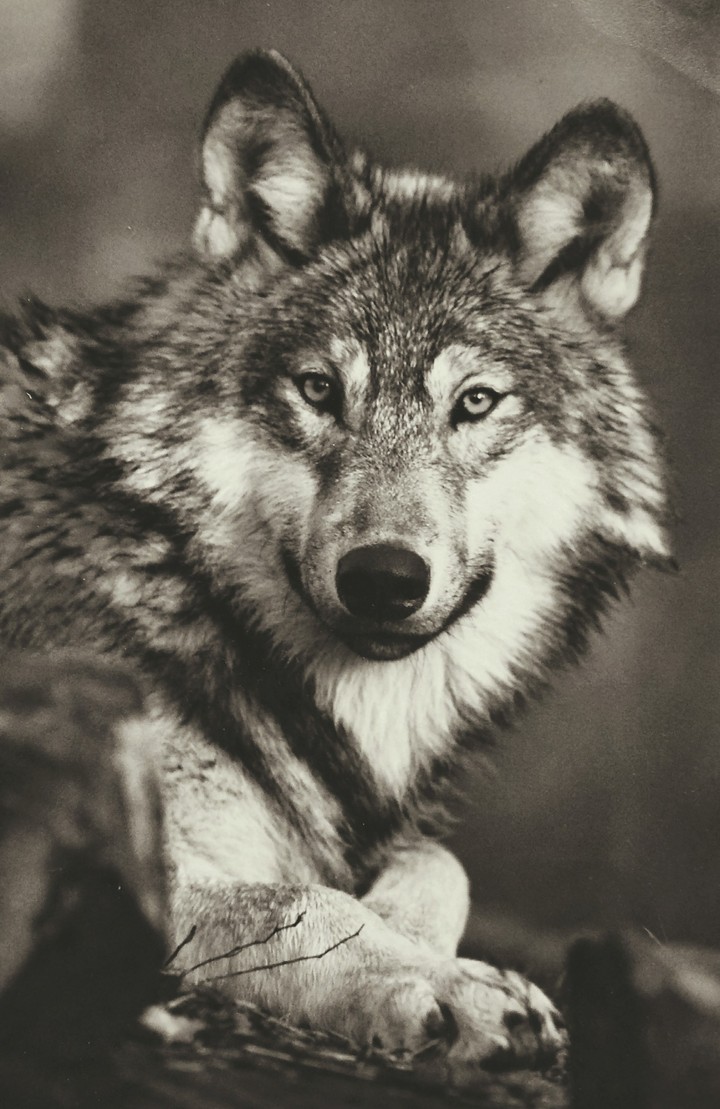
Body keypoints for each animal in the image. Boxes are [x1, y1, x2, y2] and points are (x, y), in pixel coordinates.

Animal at [0, 49, 669, 1067]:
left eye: (474, 402)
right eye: (319, 390)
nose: (385, 578)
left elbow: (440, 861)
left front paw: (430, 948)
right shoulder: (118, 845)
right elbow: (301, 901)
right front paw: (441, 985)